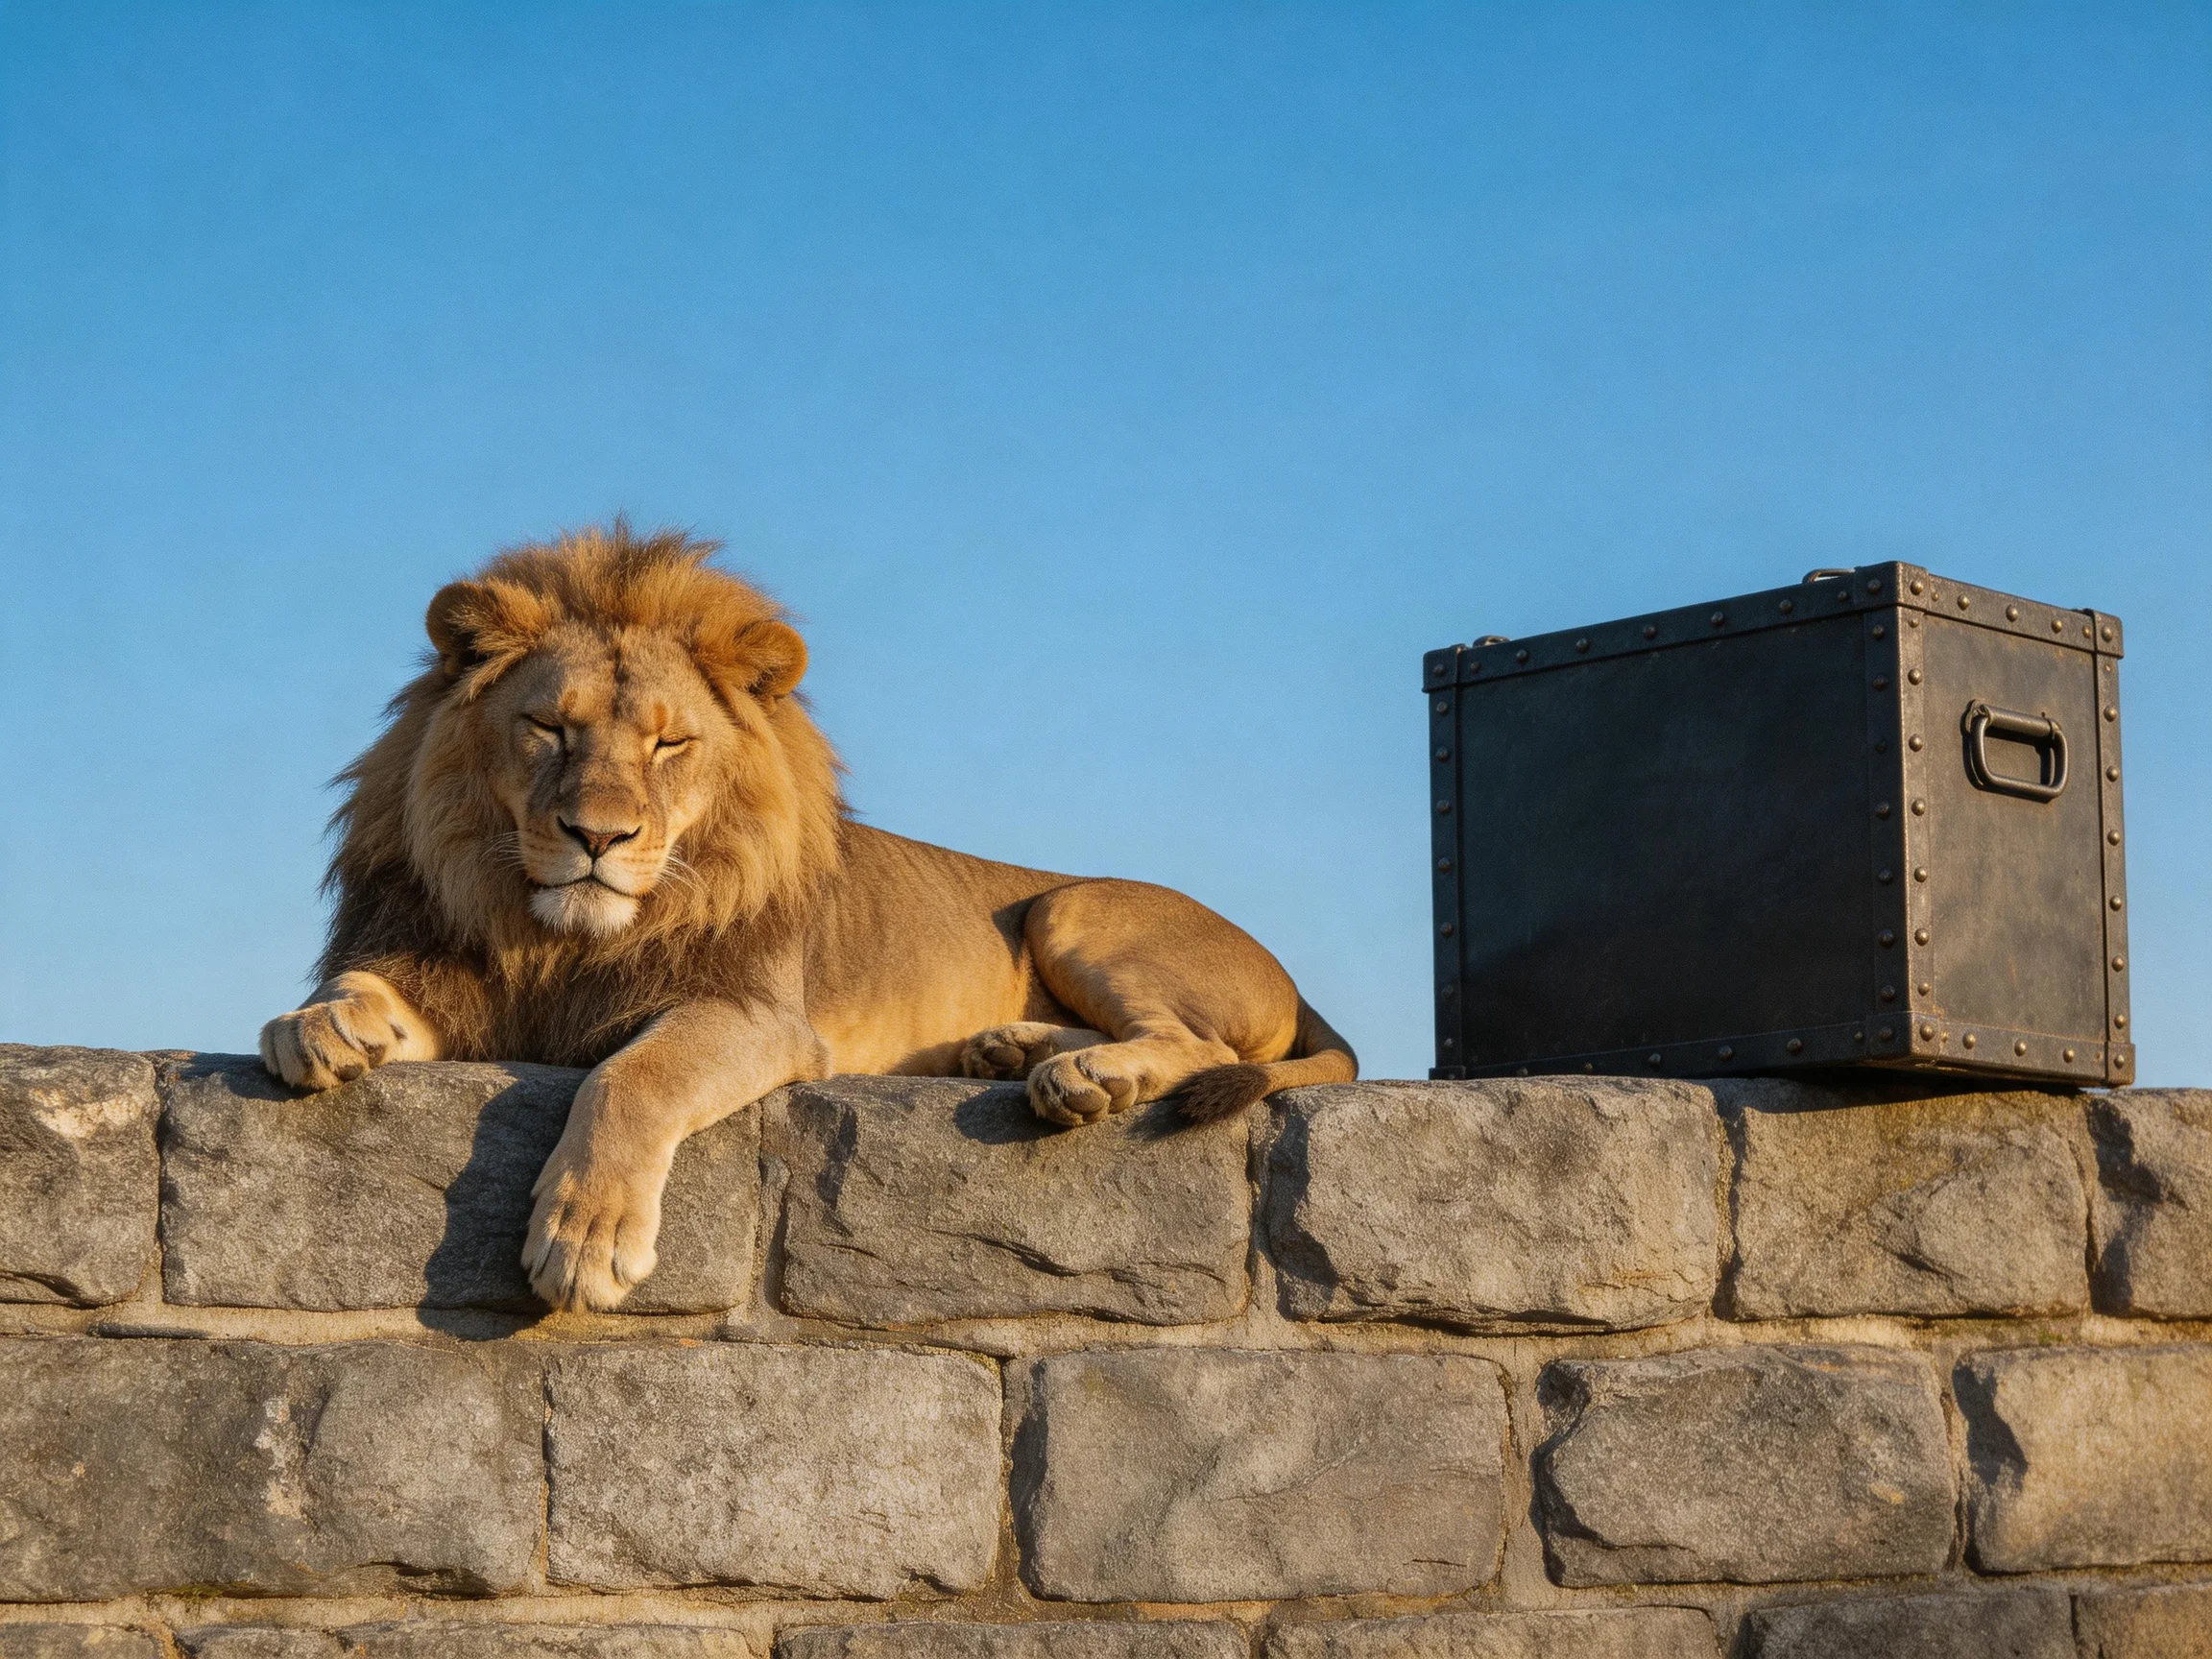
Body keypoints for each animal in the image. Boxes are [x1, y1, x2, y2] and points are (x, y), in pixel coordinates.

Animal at [260, 522, 1356, 1311]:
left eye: (668, 745)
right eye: (547, 728)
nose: (597, 836)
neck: (558, 940)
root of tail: (1296, 983)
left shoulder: (755, 1016)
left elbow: (630, 1079)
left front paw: (585, 1236)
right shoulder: (463, 981)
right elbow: (364, 987)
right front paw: (316, 1024)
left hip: (1073, 909)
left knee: (1199, 1042)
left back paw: (1087, 1076)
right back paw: (1007, 1049)